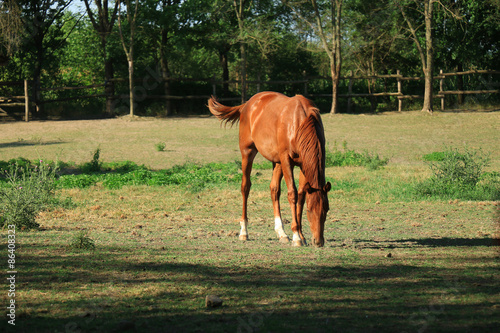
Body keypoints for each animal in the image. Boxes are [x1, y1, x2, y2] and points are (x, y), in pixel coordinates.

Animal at [208, 91, 332, 246]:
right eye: (309, 211)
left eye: (326, 209)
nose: (318, 241)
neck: (299, 121)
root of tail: (247, 104)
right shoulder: (286, 160)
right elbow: (293, 194)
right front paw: (297, 237)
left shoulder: (304, 164)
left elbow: (301, 195)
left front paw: (301, 236)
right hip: (248, 152)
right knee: (245, 187)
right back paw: (244, 232)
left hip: (276, 161)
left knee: (274, 189)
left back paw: (281, 233)